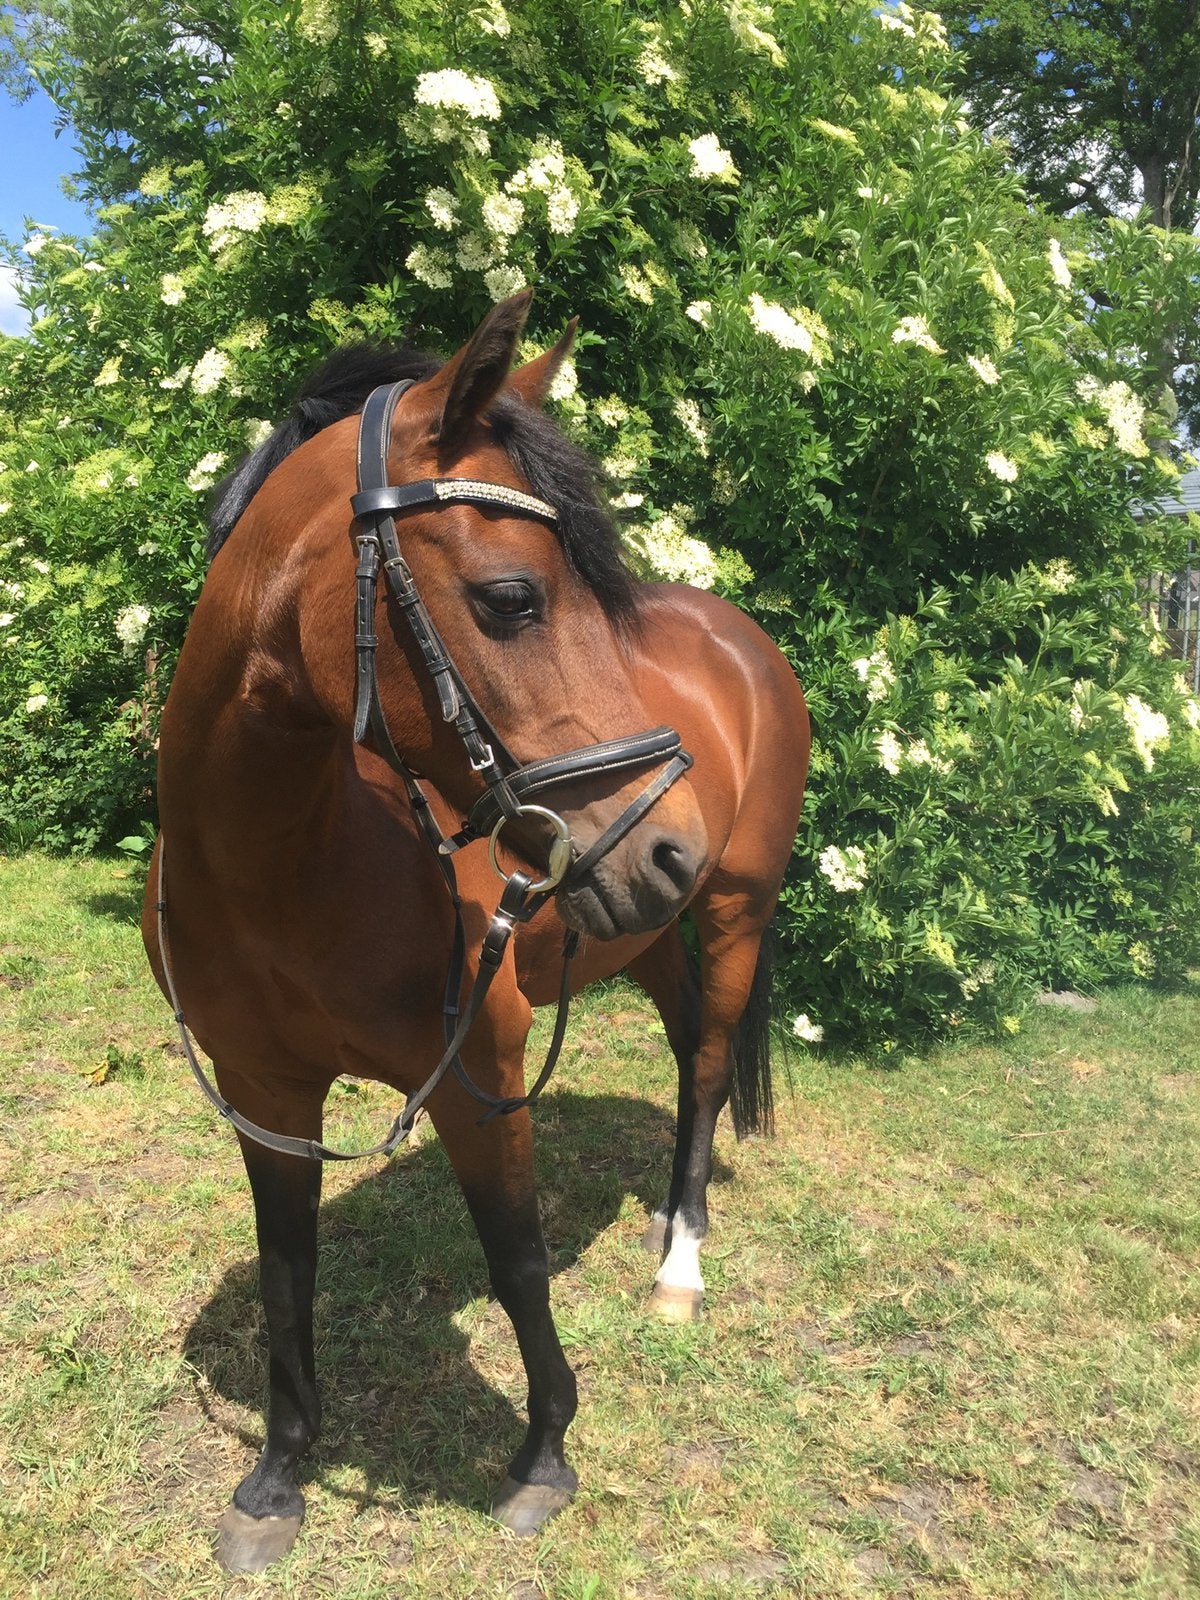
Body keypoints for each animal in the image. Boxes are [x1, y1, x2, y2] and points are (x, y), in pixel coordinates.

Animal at [141, 291, 809, 1574]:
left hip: (731, 912)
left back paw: (681, 1265)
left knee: (707, 1065)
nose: (669, 843)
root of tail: (743, 638)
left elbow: (518, 1258)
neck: (287, 861)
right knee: (687, 1045)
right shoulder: (264, 1092)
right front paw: (277, 1478)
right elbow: (289, 1275)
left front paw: (543, 1454)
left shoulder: (476, 1077)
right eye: (513, 598)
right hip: (646, 931)